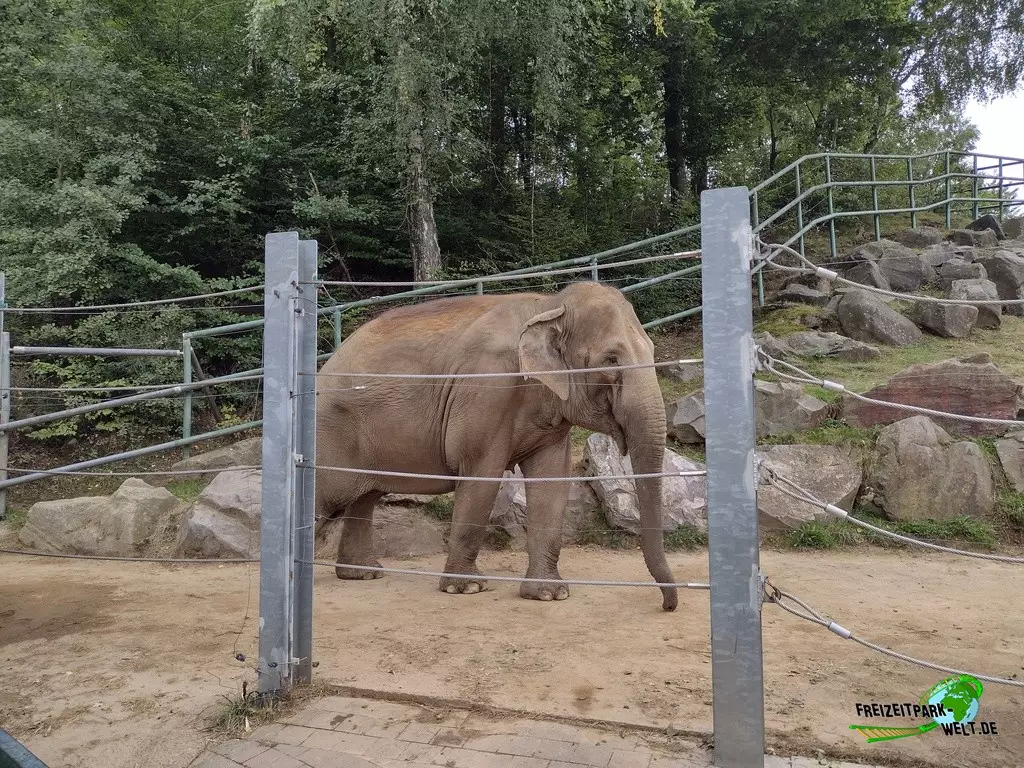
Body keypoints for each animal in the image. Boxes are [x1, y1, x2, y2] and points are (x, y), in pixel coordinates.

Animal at [314, 280, 679, 611]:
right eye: (611, 359)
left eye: (651, 353)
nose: (667, 605)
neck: (549, 305)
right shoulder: (487, 386)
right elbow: (482, 473)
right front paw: (466, 588)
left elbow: (551, 481)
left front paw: (549, 594)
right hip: (330, 434)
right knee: (329, 496)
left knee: (365, 498)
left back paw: (364, 574)